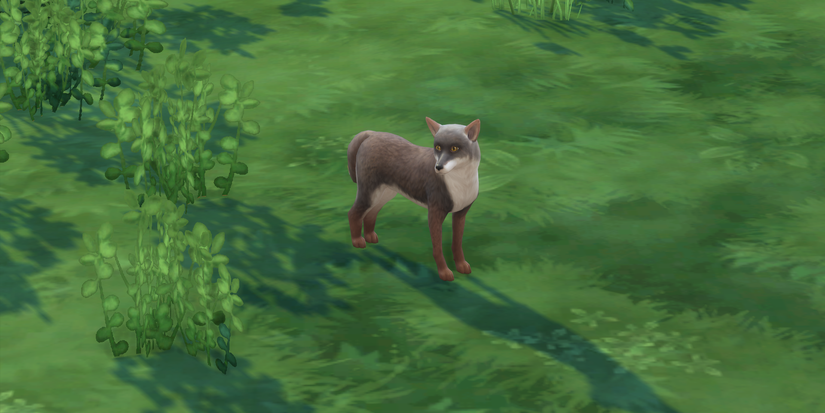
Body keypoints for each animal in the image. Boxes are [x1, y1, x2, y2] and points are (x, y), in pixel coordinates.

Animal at [347, 117, 481, 282]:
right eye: (437, 147)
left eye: (454, 148)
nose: (438, 167)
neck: (461, 182)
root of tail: (372, 133)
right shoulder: (435, 213)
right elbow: (437, 249)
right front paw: (444, 272)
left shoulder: (460, 214)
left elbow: (457, 245)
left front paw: (461, 266)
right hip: (369, 195)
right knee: (353, 213)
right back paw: (357, 241)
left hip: (383, 195)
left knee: (370, 215)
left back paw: (370, 237)